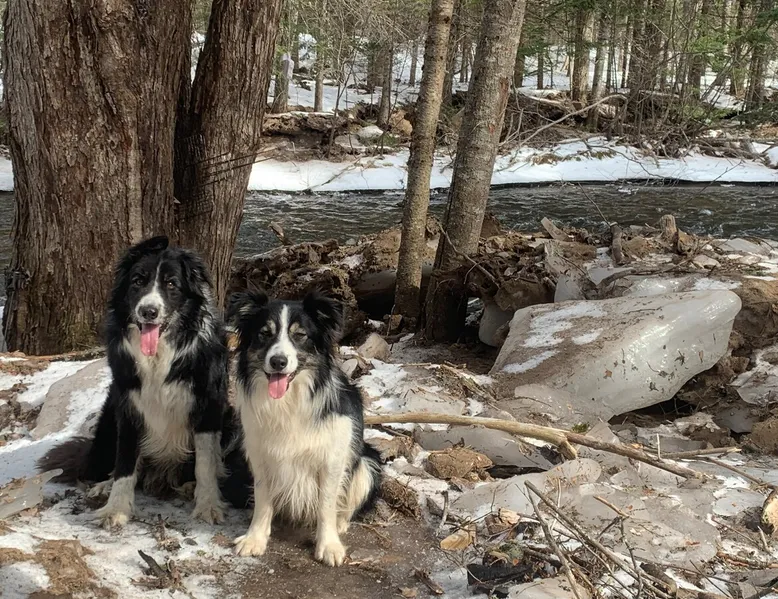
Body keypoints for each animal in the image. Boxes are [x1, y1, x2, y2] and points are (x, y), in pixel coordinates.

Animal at [39, 236, 231, 527]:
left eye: (171, 284)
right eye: (138, 281)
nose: (148, 311)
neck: (159, 355)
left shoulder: (208, 405)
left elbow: (205, 463)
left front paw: (208, 505)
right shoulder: (129, 406)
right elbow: (126, 462)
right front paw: (116, 508)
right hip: (108, 417)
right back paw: (104, 486)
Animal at [227, 290, 381, 566]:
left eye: (300, 335)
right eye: (264, 333)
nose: (278, 361)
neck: (289, 401)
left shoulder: (333, 457)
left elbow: (326, 504)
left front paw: (329, 545)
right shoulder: (259, 454)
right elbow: (263, 498)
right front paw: (255, 538)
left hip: (368, 463)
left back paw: (340, 524)